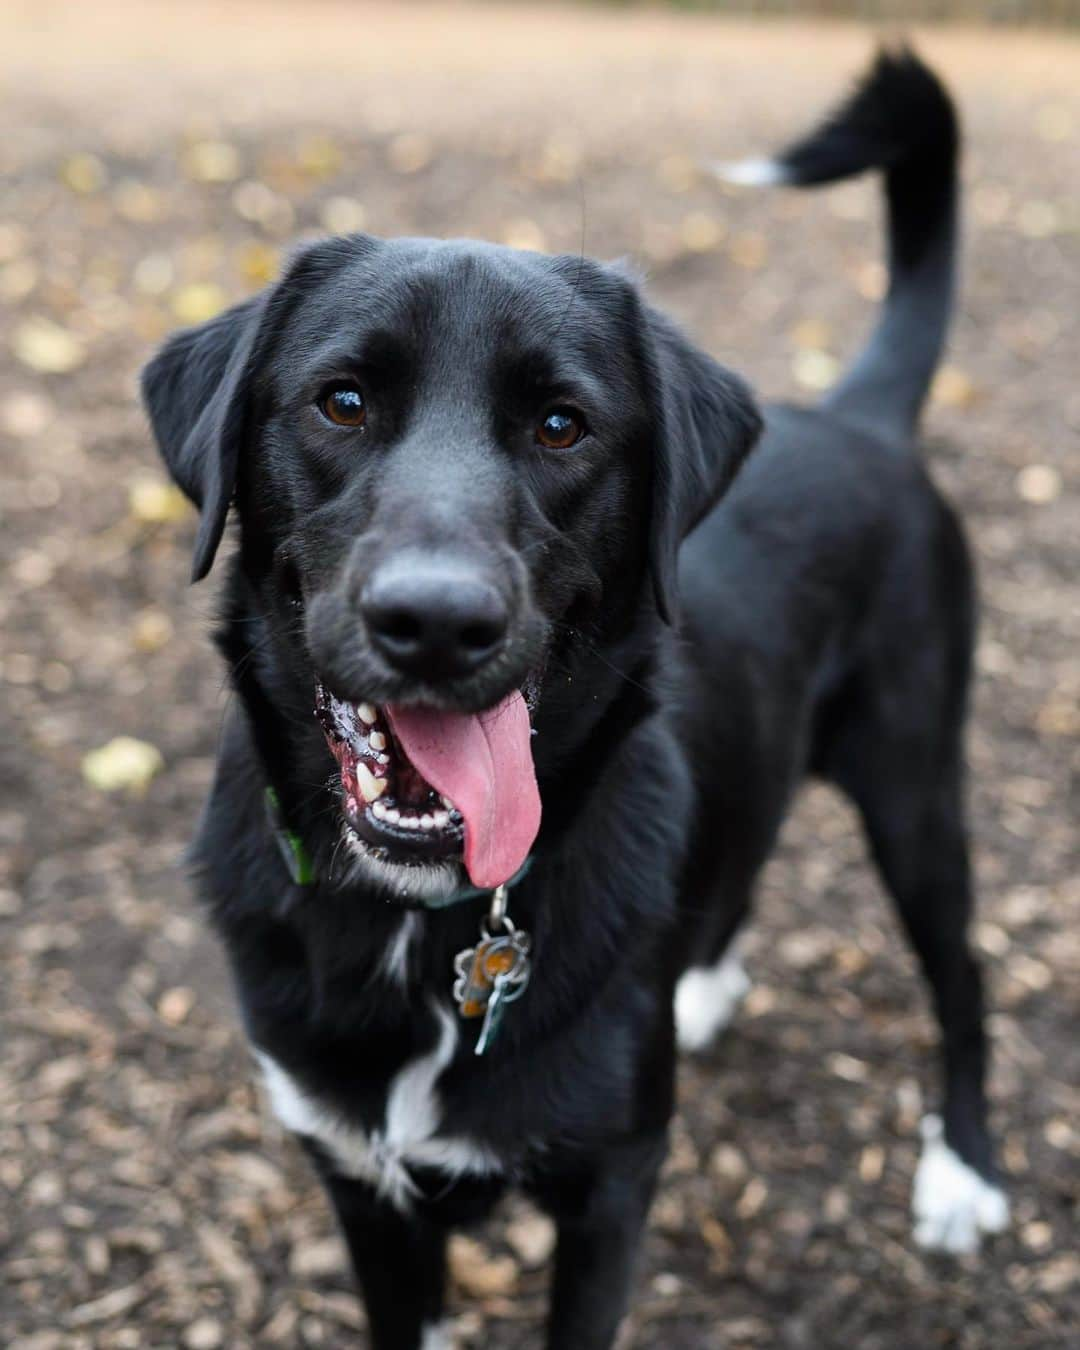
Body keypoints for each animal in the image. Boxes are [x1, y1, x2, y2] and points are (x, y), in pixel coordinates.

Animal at [141, 52, 1004, 1350]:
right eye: (342, 402)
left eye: (563, 426)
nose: (437, 621)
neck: (422, 925)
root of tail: (857, 415)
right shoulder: (360, 1186)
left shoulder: (611, 1188)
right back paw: (704, 989)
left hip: (914, 784)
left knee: (964, 973)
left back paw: (963, 1172)